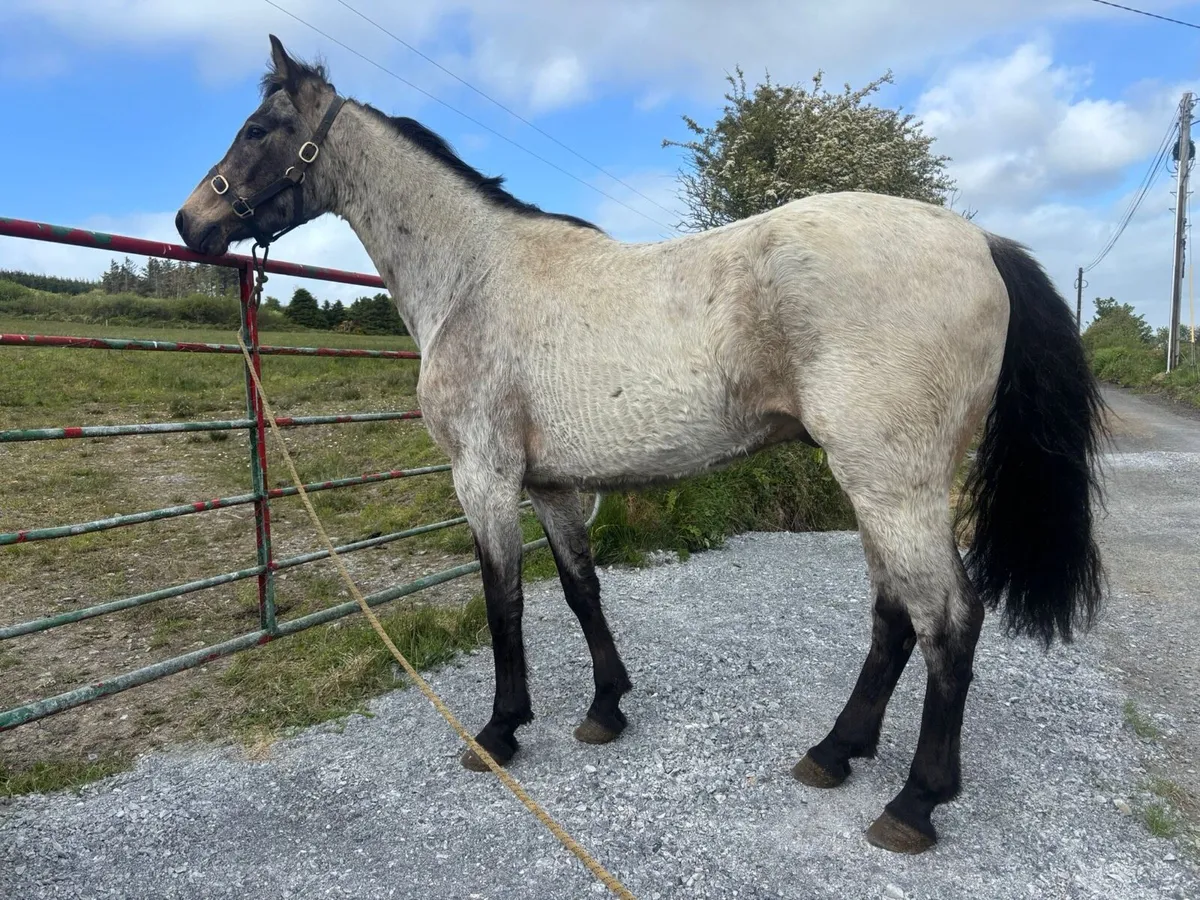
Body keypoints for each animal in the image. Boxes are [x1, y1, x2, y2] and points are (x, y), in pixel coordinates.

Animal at [175, 35, 1107, 855]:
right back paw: (834, 752)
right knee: (895, 616)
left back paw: (914, 803)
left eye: (256, 129)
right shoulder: (552, 485)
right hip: (884, 487)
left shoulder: (483, 477)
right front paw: (605, 710)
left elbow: (503, 603)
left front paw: (501, 731)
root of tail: (982, 243)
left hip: (891, 484)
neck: (474, 277)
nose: (191, 222)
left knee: (947, 619)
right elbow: (581, 591)